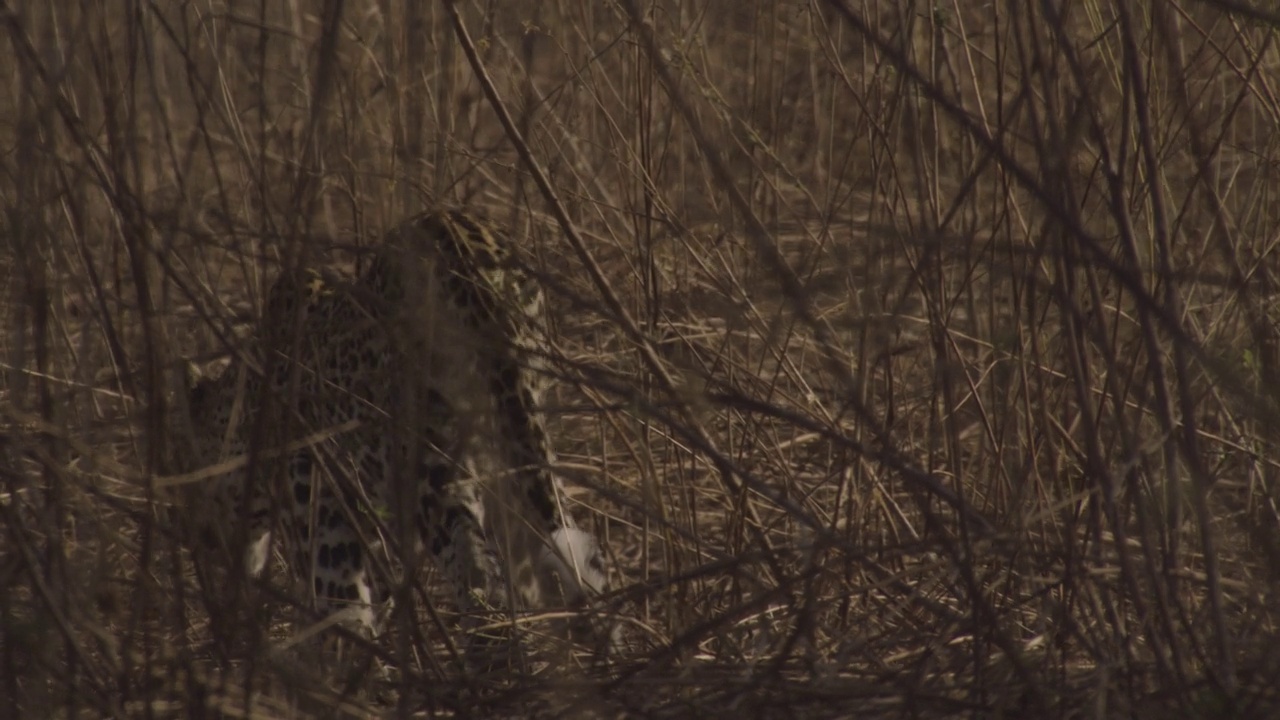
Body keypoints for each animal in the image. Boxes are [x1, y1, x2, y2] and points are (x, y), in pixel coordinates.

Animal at [175, 208, 609, 645]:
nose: (200, 540)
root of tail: (461, 250)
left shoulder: (318, 505)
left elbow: (341, 614)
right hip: (523, 432)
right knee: (569, 549)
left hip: (428, 464)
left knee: (476, 571)